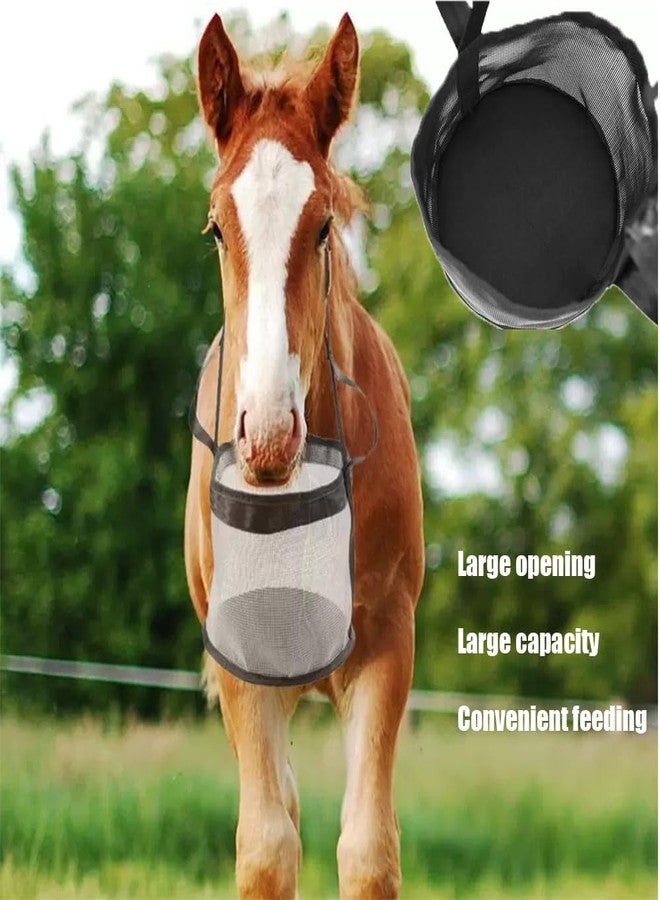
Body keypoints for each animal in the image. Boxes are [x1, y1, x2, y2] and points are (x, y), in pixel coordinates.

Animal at [185, 13, 424, 899]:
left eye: (322, 224)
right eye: (217, 227)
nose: (268, 436)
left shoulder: (387, 642)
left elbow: (368, 850)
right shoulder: (243, 661)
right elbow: (266, 848)